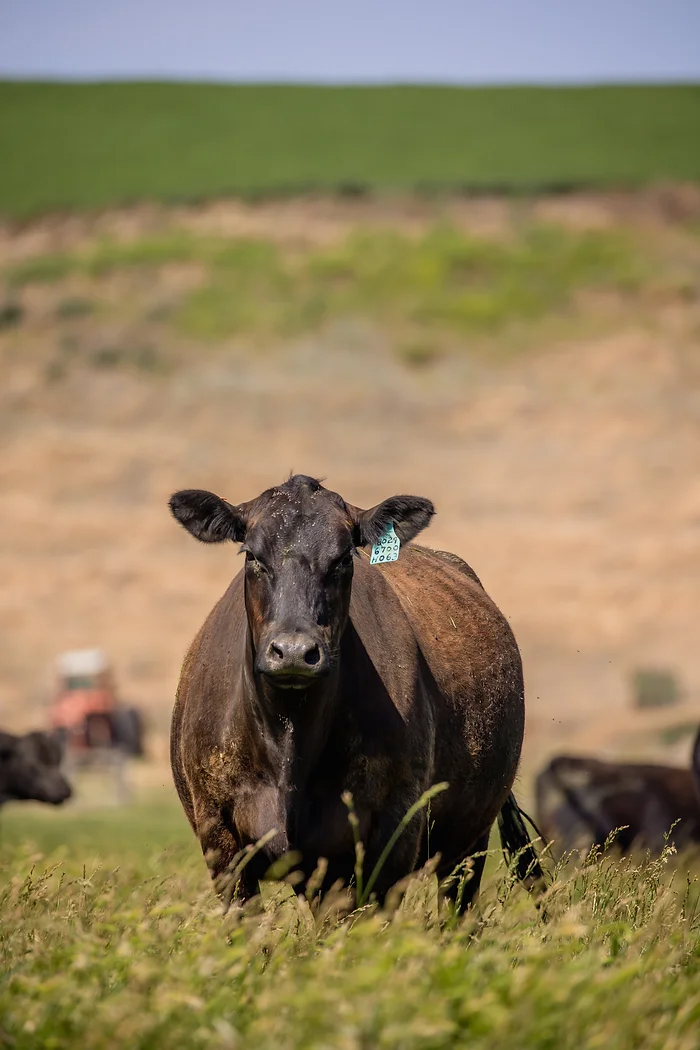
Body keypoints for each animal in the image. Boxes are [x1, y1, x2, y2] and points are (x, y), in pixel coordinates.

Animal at [170, 472, 541, 907]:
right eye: (252, 556)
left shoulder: (387, 839)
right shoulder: (222, 841)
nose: (294, 652)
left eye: (344, 558)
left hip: (467, 842)